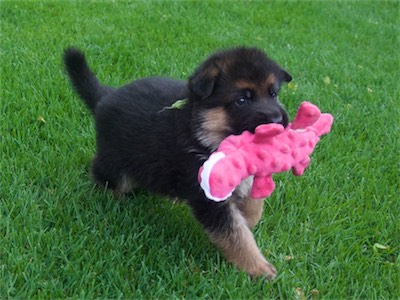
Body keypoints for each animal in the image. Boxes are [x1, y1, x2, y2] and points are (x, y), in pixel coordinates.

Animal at [64, 47, 292, 278]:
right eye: (242, 100)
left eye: (273, 94)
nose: (277, 121)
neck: (204, 135)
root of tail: (105, 96)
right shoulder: (208, 198)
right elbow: (236, 235)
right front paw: (258, 267)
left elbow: (254, 203)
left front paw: (249, 218)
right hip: (117, 160)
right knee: (104, 172)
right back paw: (108, 195)